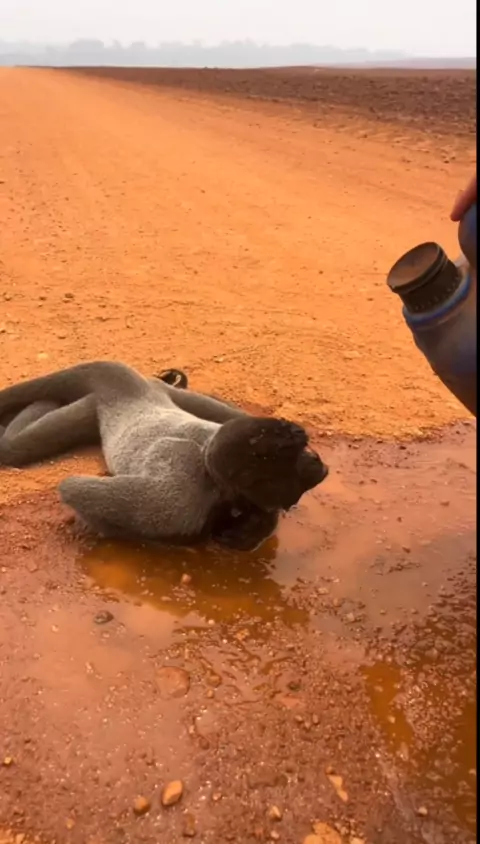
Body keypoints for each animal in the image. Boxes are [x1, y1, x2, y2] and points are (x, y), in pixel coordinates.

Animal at [0, 361, 328, 550]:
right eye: (300, 454)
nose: (319, 463)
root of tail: (139, 389)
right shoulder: (183, 498)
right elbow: (74, 489)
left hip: (162, 394)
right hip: (105, 391)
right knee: (15, 446)